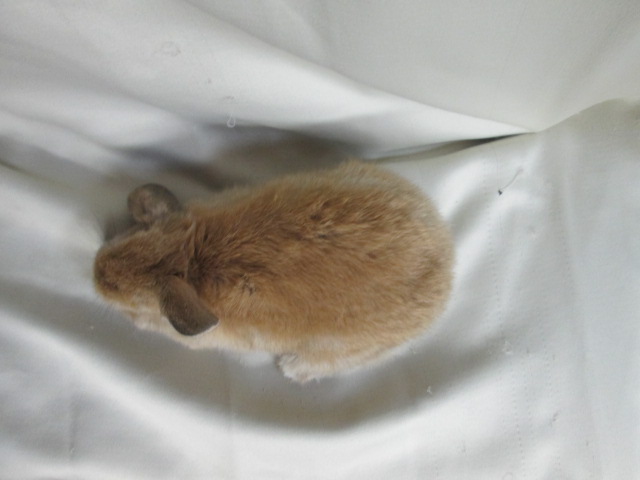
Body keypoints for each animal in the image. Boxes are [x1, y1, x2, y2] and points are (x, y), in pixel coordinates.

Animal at [93, 160, 454, 383]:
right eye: (125, 237)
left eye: (132, 303)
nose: (95, 272)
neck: (189, 257)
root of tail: (447, 263)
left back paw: (291, 369)